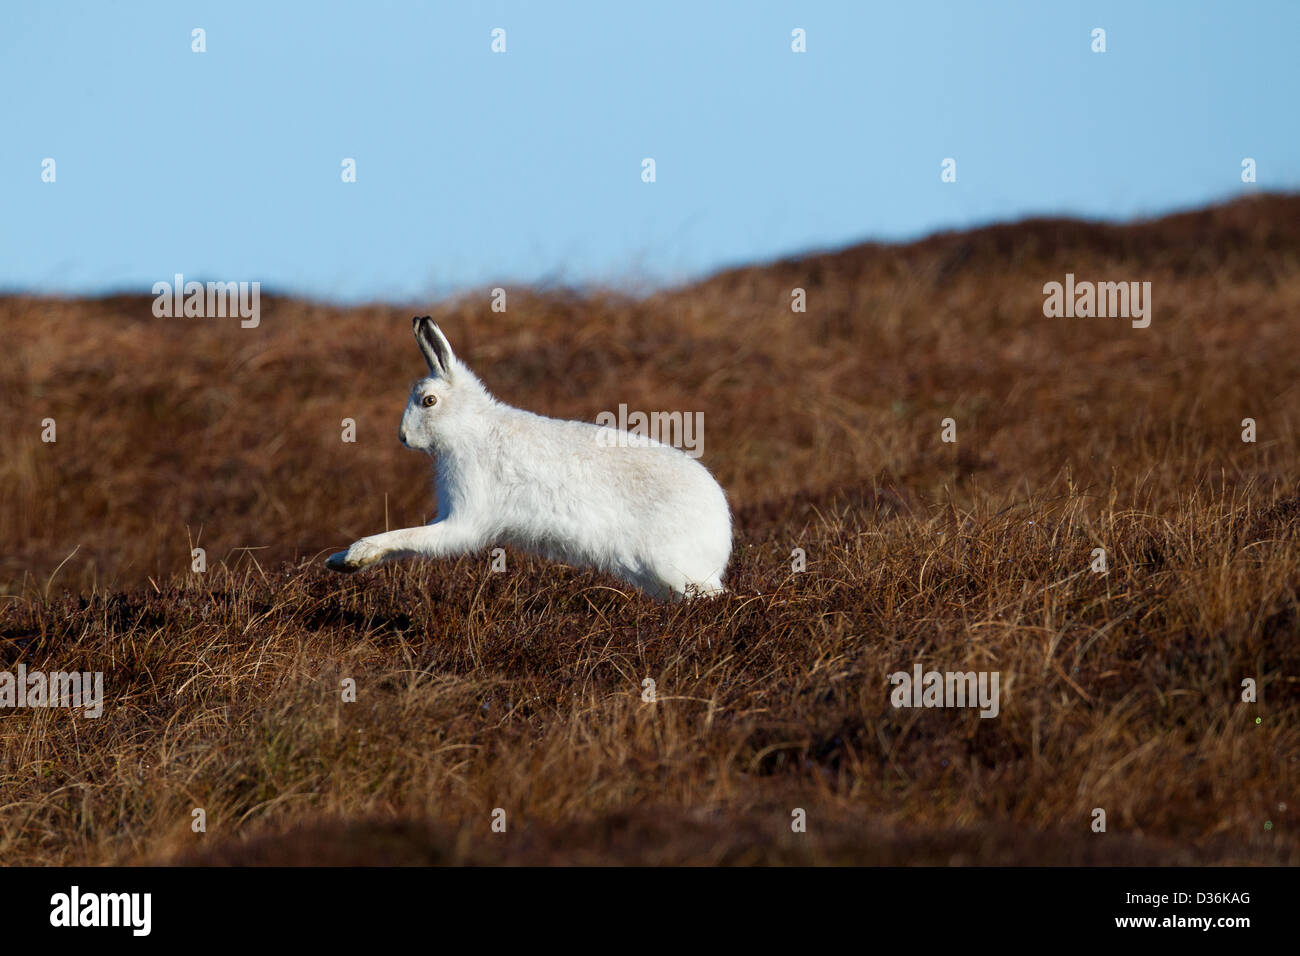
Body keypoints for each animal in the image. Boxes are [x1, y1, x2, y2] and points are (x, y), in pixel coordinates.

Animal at [325, 316, 732, 601]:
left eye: (428, 401)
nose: (403, 437)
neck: (471, 426)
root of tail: (721, 533)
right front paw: (340, 561)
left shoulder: (465, 516)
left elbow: (415, 537)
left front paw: (358, 553)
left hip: (673, 565)